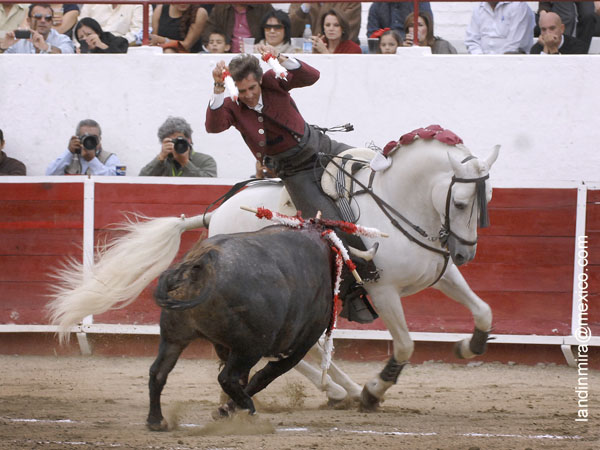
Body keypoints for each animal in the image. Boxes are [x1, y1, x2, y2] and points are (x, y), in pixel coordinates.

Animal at [146, 227, 332, 430]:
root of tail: (201, 262)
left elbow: (246, 378)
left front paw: (225, 409)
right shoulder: (299, 347)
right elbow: (263, 376)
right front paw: (226, 410)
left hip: (174, 337)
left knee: (158, 371)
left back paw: (156, 421)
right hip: (251, 347)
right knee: (227, 378)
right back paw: (249, 413)